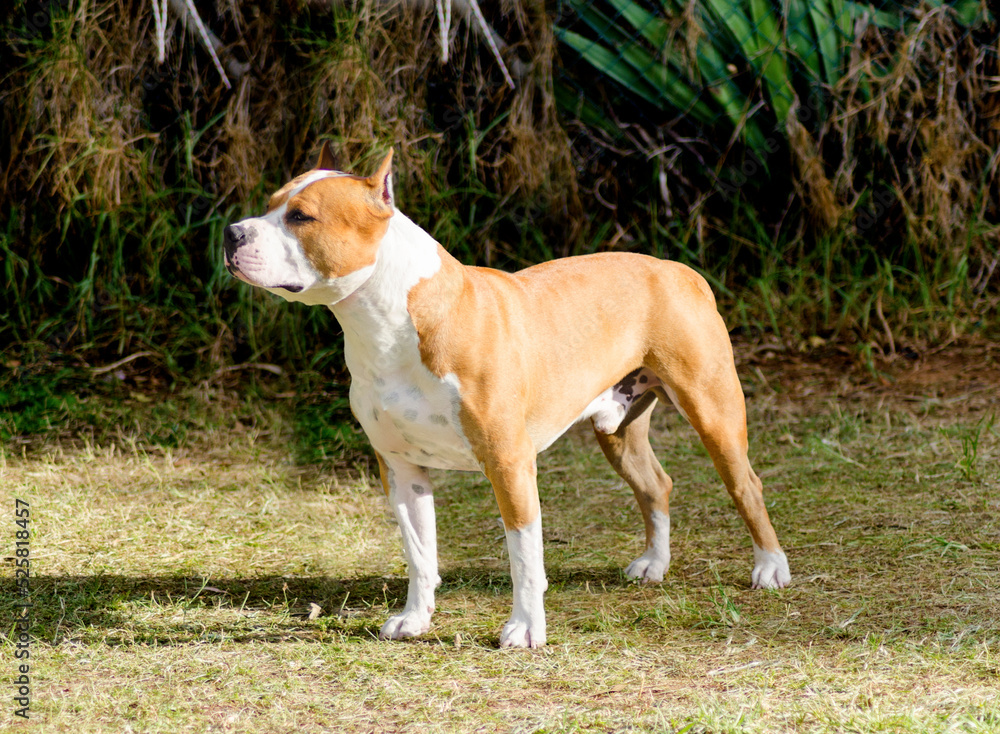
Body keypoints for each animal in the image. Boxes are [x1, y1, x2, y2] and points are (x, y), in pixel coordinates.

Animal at [225, 144, 788, 648]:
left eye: (301, 216)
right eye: (270, 204)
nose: (231, 232)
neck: (390, 322)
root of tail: (678, 268)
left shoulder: (508, 462)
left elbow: (523, 556)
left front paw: (526, 629)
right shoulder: (400, 469)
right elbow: (419, 553)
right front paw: (415, 619)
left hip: (713, 410)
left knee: (747, 484)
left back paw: (770, 567)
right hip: (619, 430)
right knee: (656, 485)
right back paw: (654, 563)